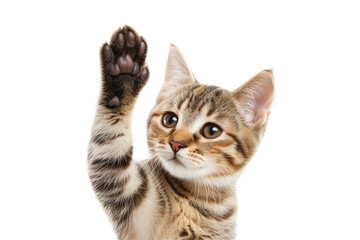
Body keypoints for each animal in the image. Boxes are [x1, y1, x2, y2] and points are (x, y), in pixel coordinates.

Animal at [88, 26, 274, 240]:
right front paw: (123, 70)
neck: (205, 202)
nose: (176, 143)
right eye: (170, 120)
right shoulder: (123, 188)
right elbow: (109, 149)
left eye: (212, 131)